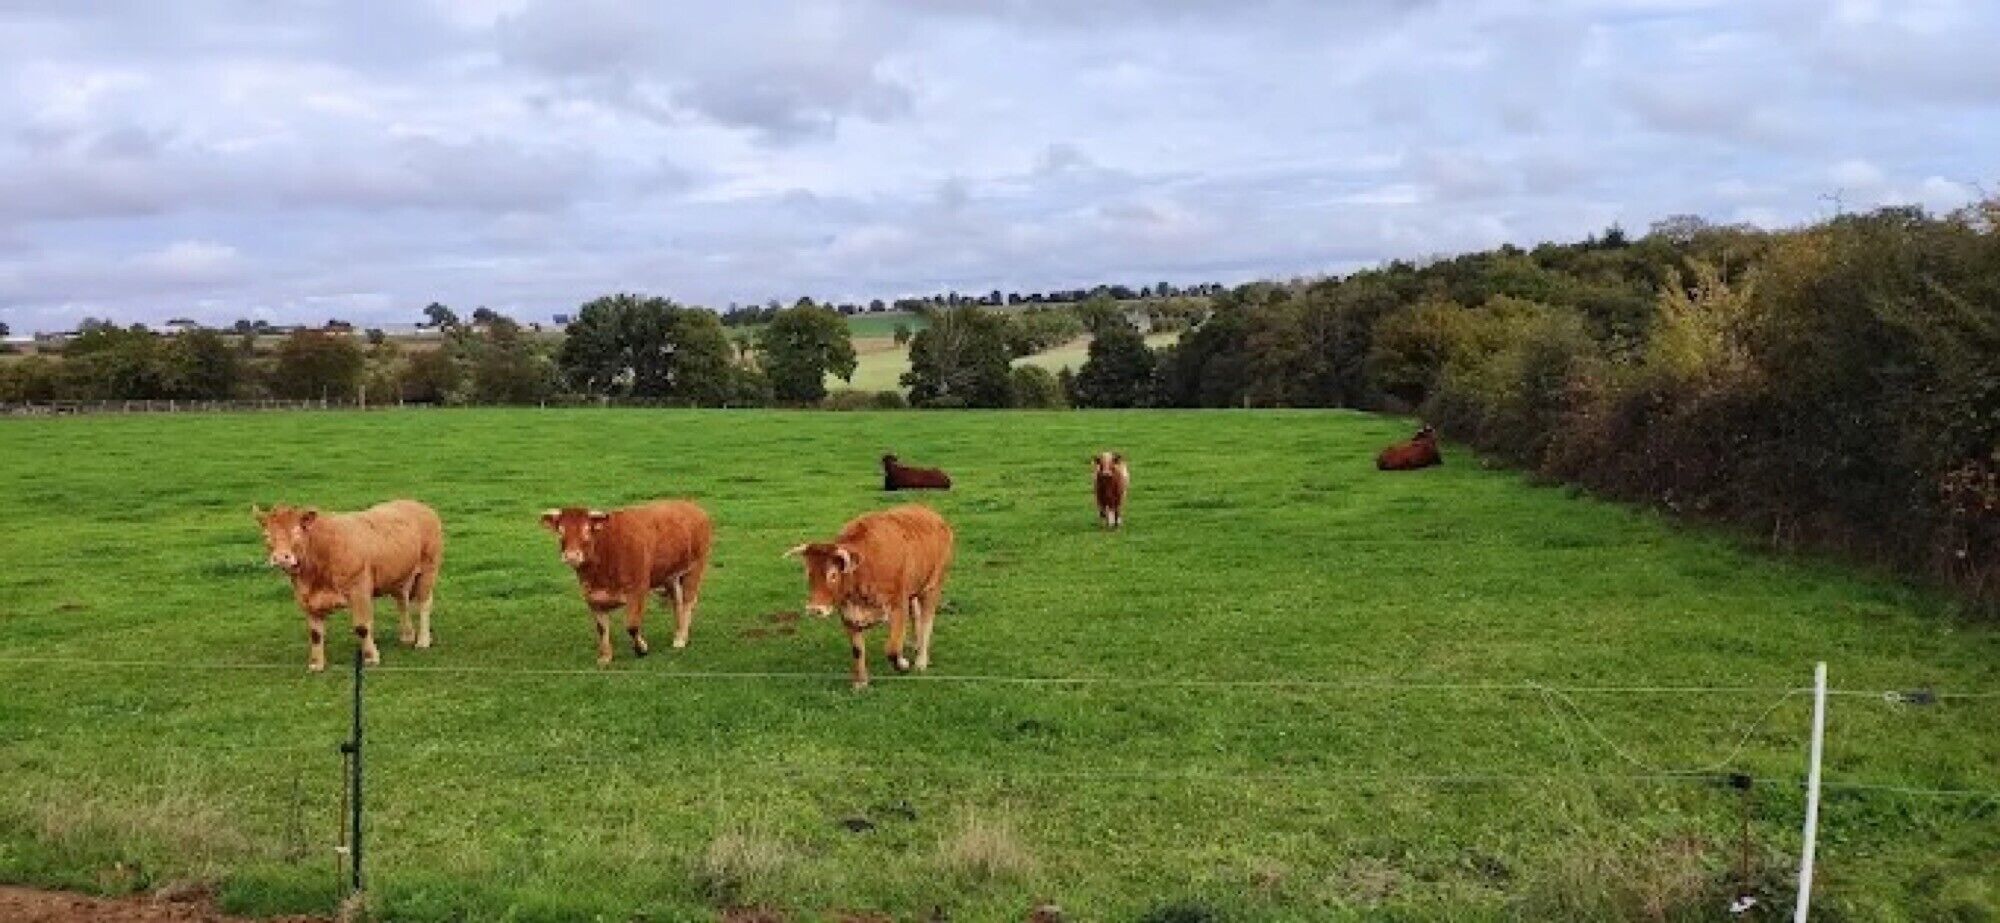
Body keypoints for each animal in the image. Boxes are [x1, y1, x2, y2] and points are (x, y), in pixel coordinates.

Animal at [254, 500, 442, 672]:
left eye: (296, 531)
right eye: (266, 535)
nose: (281, 557)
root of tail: (416, 504)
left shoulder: (359, 590)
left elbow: (362, 627)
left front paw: (371, 657)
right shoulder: (306, 598)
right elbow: (315, 634)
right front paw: (316, 664)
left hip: (429, 568)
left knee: (424, 604)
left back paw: (423, 640)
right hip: (398, 575)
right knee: (402, 601)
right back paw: (407, 635)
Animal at [540, 501, 712, 665]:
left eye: (587, 529)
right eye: (560, 531)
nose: (571, 555)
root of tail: (690, 506)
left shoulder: (638, 590)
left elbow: (632, 625)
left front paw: (641, 649)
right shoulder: (592, 597)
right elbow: (601, 628)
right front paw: (605, 657)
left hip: (695, 568)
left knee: (688, 602)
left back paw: (681, 638)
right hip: (670, 575)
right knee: (677, 602)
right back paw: (678, 632)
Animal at [785, 504, 955, 689]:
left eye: (833, 575)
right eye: (808, 573)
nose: (815, 609)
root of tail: (930, 513)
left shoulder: (897, 606)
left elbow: (892, 649)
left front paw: (903, 664)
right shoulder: (849, 614)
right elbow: (857, 650)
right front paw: (861, 682)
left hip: (933, 586)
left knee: (926, 622)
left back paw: (921, 661)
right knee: (916, 614)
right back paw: (916, 645)